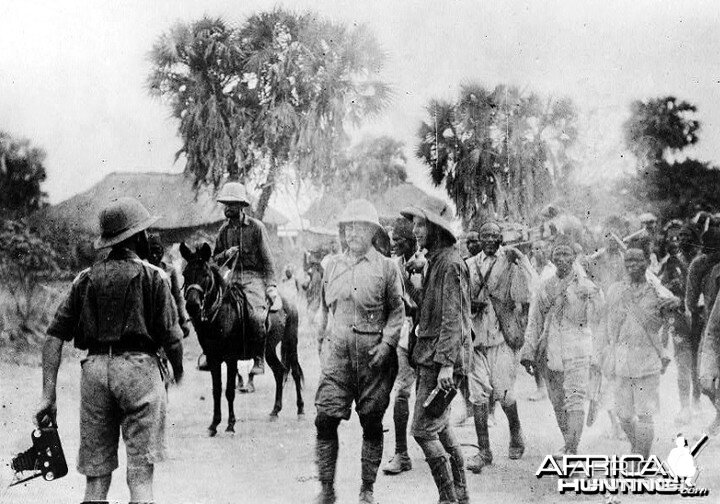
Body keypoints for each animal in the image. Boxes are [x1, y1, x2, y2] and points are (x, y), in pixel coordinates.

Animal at [181, 242, 306, 436]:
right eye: (185, 274)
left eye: (205, 275)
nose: (192, 306)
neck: (221, 313)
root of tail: (288, 302)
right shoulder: (213, 359)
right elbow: (216, 391)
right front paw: (213, 425)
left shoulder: (231, 358)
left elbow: (229, 391)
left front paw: (230, 425)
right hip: (268, 349)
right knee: (279, 372)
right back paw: (275, 411)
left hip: (291, 342)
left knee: (295, 372)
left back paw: (300, 410)